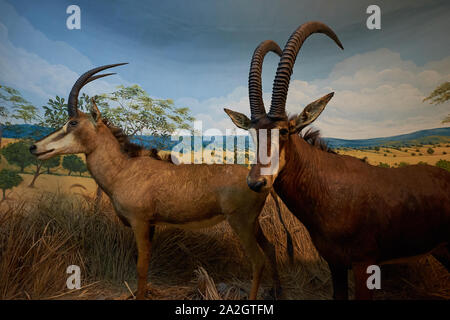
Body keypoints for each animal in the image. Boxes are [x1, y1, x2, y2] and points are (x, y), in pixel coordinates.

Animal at [30, 53, 292, 300]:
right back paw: (278, 291)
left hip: (241, 222)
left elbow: (141, 267)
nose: (35, 147)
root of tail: (261, 180)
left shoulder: (140, 222)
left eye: (73, 122)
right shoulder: (152, 225)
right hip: (253, 223)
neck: (125, 169)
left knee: (258, 260)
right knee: (270, 248)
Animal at [225, 21, 450, 298]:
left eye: (285, 131)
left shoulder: (365, 264)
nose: (257, 182)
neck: (330, 188)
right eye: (252, 133)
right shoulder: (335, 263)